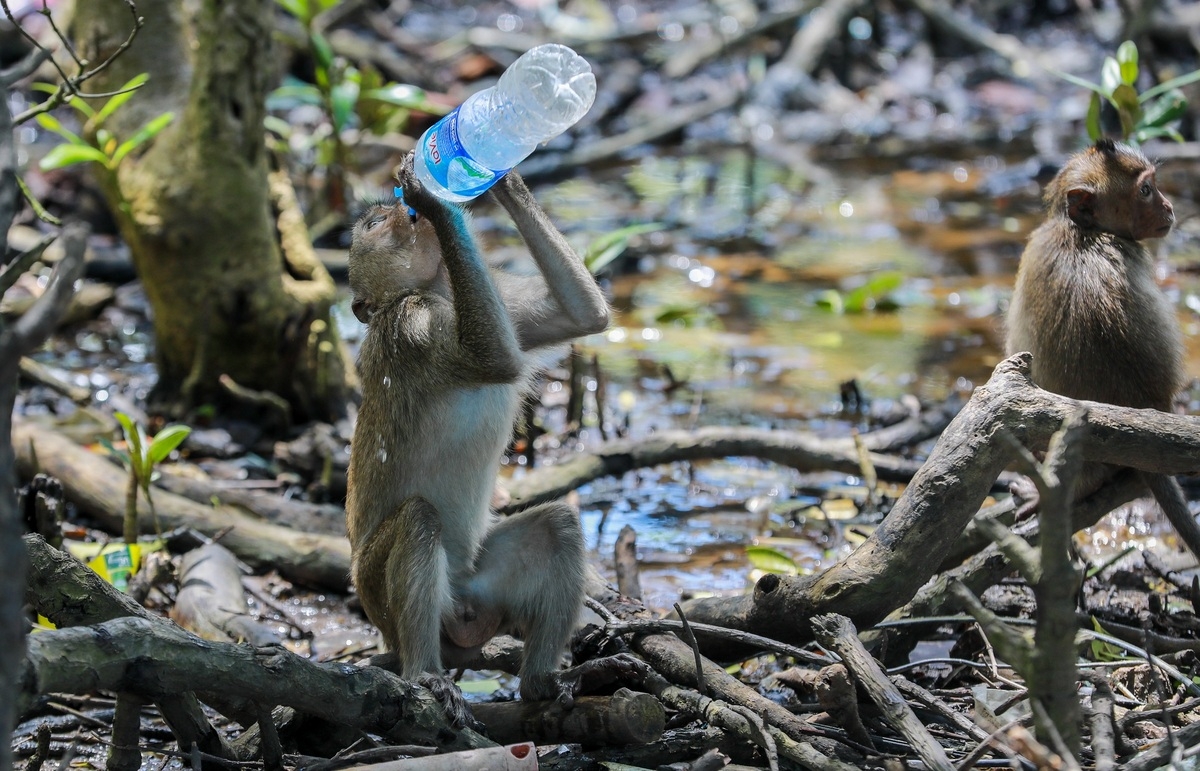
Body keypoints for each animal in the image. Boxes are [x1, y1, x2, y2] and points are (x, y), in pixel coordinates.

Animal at [345, 154, 611, 718]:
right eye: (376, 224)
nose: (400, 211)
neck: (439, 290)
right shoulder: (411, 326)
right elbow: (494, 359)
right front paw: (437, 197)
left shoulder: (501, 300)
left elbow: (583, 316)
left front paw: (502, 178)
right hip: (377, 596)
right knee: (418, 520)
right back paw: (425, 672)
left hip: (482, 587)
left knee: (557, 524)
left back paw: (540, 683)